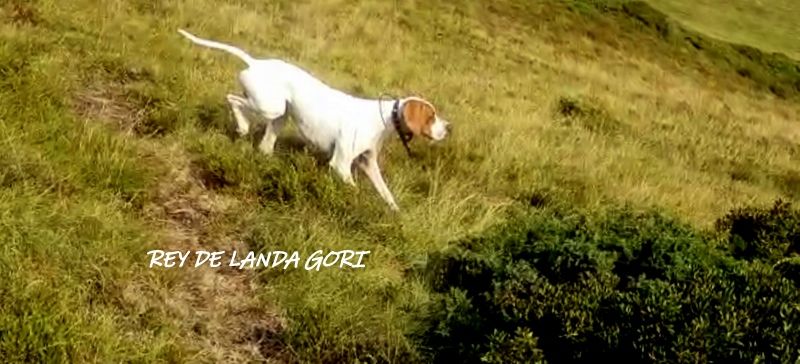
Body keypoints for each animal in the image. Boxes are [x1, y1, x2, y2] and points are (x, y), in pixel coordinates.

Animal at [177, 29, 450, 212]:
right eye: (431, 116)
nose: (449, 127)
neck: (381, 119)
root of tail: (256, 63)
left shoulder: (368, 163)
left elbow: (387, 194)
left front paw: (396, 216)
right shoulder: (341, 164)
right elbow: (354, 190)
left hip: (279, 115)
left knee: (264, 143)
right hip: (270, 107)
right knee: (232, 99)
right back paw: (243, 126)